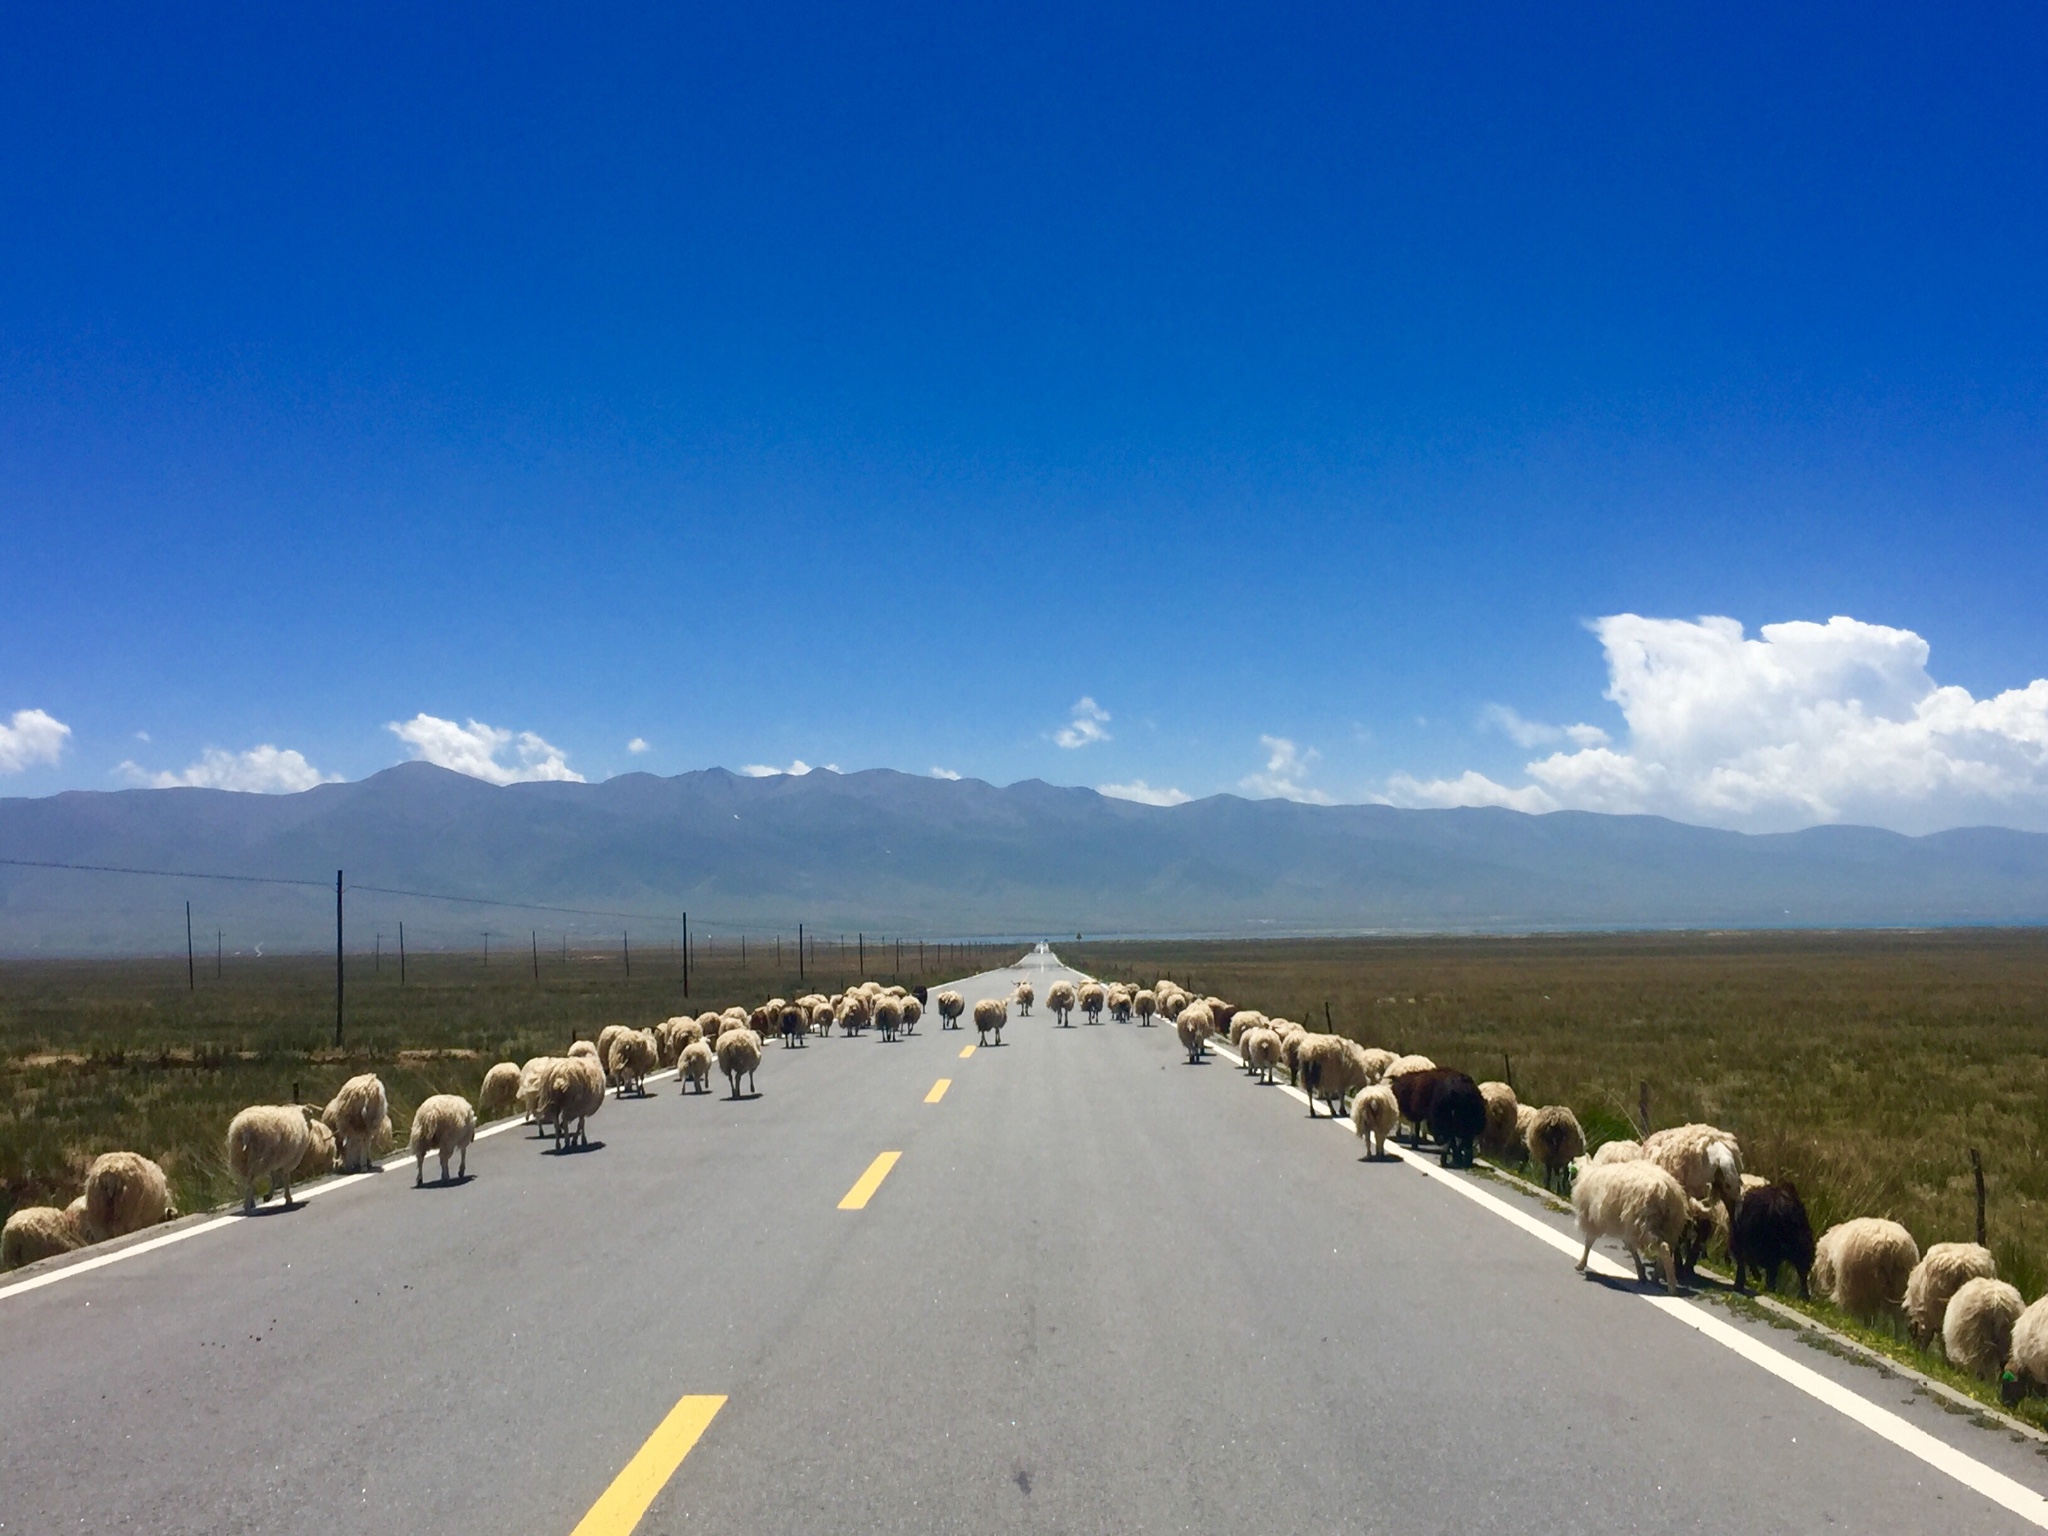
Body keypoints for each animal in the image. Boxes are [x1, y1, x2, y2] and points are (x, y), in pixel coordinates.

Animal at [1564, 1163, 1695, 1302]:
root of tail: (1665, 1189)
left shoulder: (1594, 1221)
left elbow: (1588, 1242)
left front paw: (1580, 1264)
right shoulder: (1626, 1227)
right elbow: (1631, 1248)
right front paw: (1641, 1273)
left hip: (1646, 1224)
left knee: (1664, 1247)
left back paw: (1671, 1287)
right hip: (1670, 1225)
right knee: (1668, 1247)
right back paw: (1656, 1276)